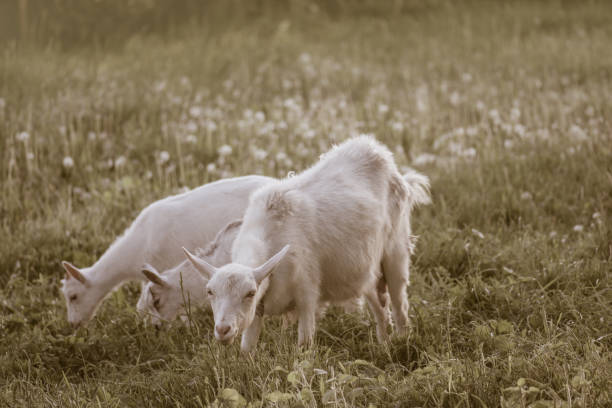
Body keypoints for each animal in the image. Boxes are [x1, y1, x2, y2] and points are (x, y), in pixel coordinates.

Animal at [185, 136, 430, 350]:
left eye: (250, 293)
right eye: (209, 291)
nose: (223, 330)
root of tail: (377, 151)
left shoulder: (307, 293)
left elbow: (304, 344)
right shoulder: (259, 308)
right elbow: (247, 348)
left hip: (395, 250)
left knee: (399, 305)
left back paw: (403, 341)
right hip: (366, 267)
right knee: (380, 307)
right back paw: (384, 344)